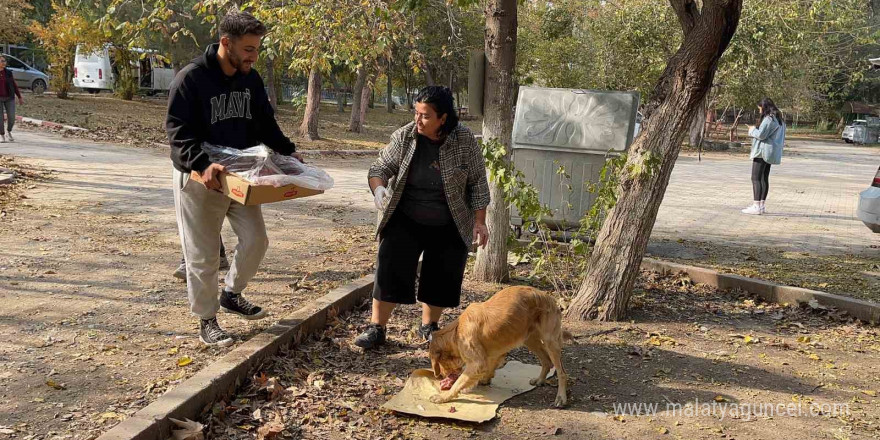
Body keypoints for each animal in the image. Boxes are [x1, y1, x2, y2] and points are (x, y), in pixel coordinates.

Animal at [428, 288, 572, 408]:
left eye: (440, 364)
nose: (441, 377)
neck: (456, 331)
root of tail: (551, 299)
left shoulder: (477, 362)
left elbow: (460, 381)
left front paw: (444, 396)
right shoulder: (493, 353)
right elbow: (489, 368)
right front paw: (484, 379)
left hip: (550, 341)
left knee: (562, 372)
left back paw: (561, 398)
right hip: (529, 339)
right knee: (546, 362)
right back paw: (540, 380)